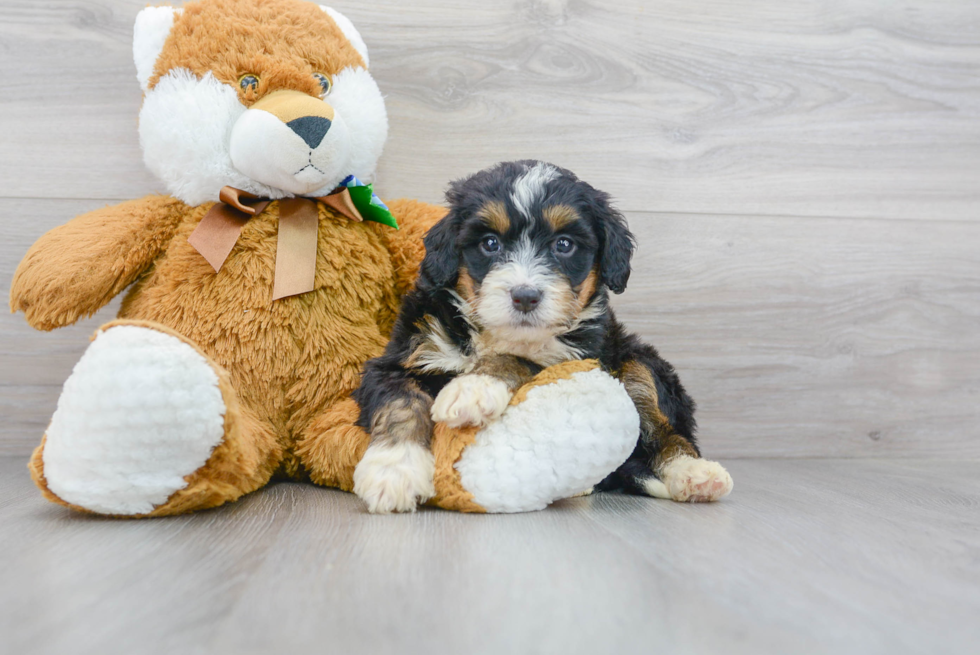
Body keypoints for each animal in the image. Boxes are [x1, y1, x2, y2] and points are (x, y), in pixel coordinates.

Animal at [350, 161, 728, 516]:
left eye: (564, 245)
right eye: (490, 243)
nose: (525, 296)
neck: (496, 333)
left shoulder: (579, 357)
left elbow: (519, 359)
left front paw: (473, 388)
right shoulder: (401, 356)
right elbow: (401, 405)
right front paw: (392, 472)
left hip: (638, 359)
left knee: (664, 429)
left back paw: (695, 473)